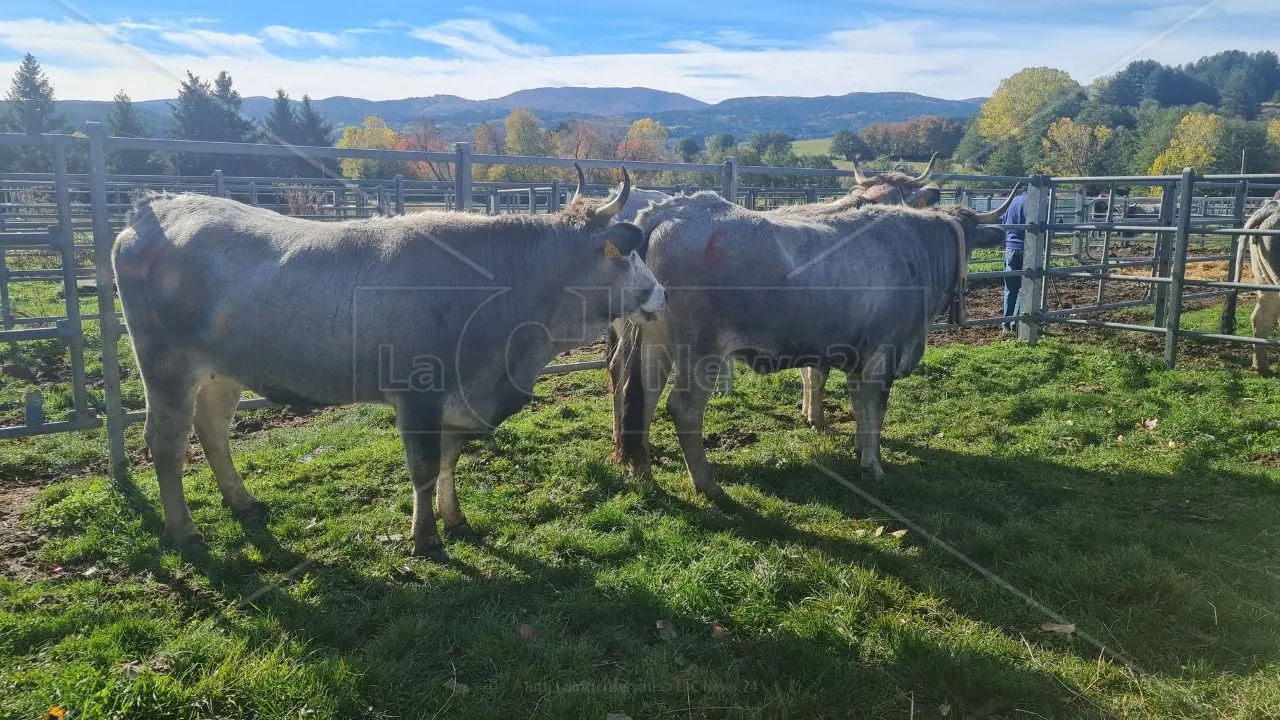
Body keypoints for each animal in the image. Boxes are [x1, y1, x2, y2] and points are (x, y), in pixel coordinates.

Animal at [609, 188, 1018, 497]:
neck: (913, 250)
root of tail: (675, 208)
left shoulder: (858, 354)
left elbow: (860, 404)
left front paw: (859, 447)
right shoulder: (883, 353)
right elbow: (876, 408)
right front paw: (872, 463)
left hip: (655, 344)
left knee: (642, 398)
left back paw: (643, 472)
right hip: (700, 350)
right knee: (683, 409)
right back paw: (709, 486)